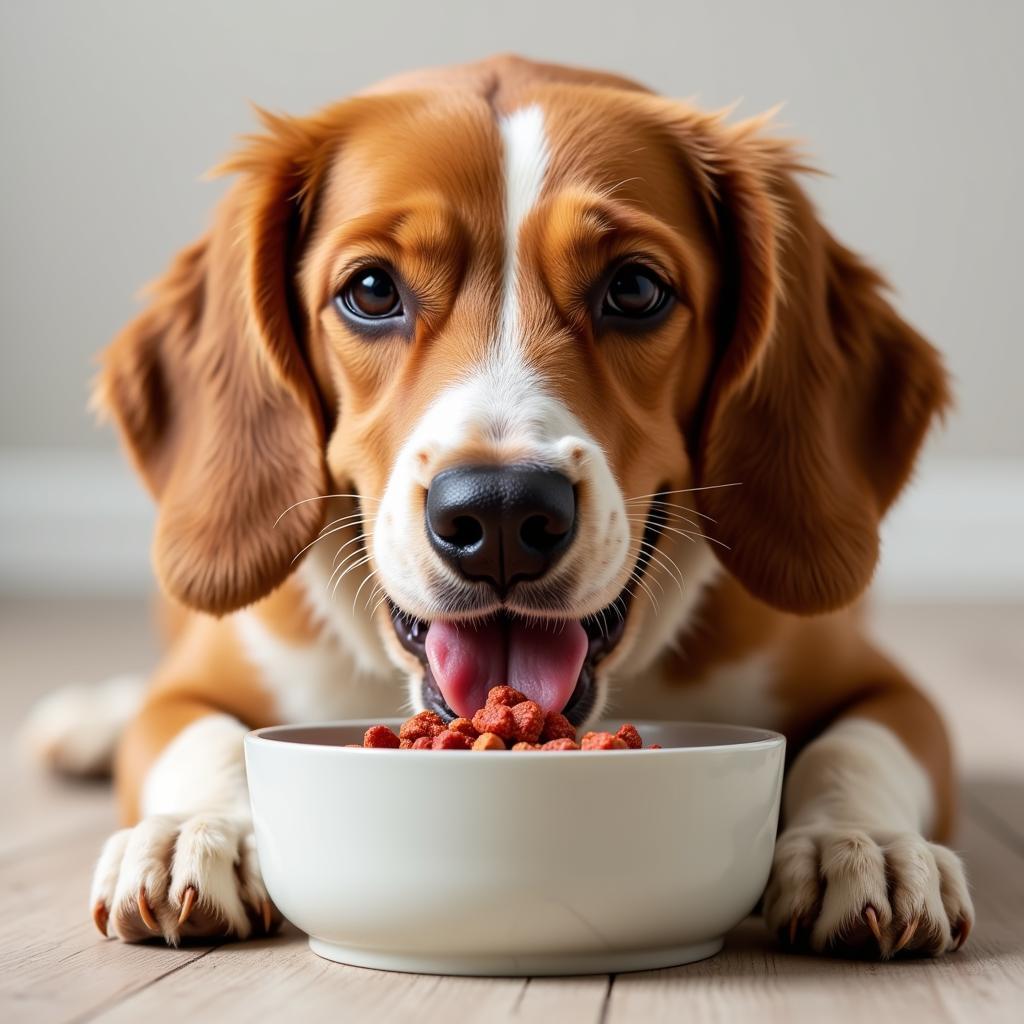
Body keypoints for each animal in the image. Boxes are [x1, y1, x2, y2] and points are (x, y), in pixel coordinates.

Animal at [24, 56, 966, 958]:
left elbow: (854, 750)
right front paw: (193, 832)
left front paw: (863, 845)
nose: (505, 515)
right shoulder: (201, 683)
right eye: (372, 290)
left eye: (634, 290)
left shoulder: (889, 690)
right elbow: (202, 738)